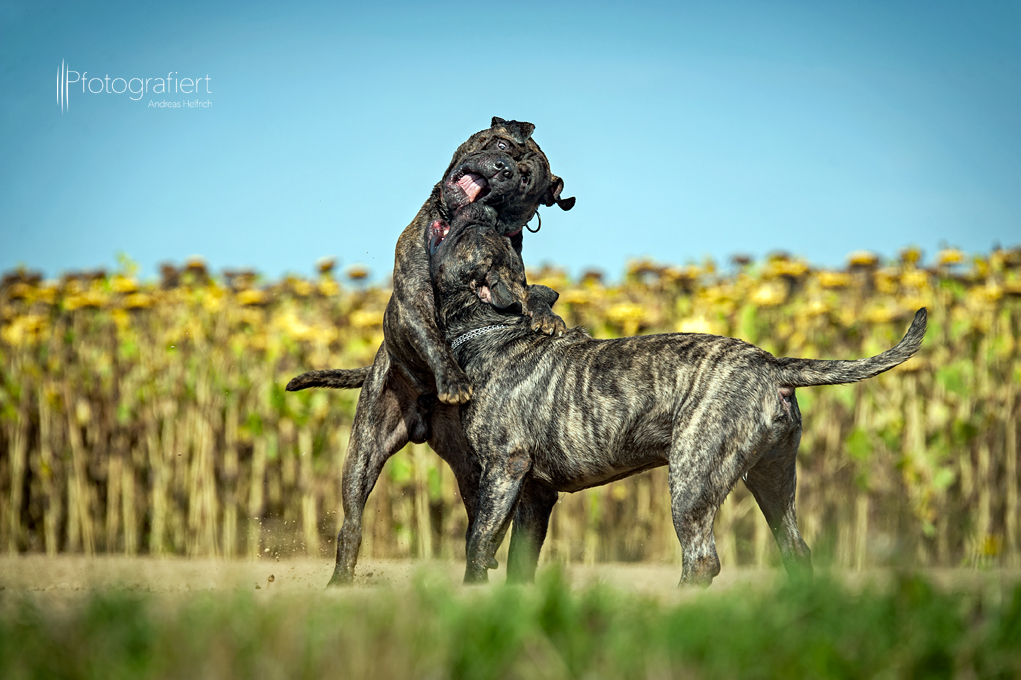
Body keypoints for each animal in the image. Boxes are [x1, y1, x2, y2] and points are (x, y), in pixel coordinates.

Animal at [287, 116, 575, 584]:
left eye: (526, 179)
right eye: (500, 145)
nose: (502, 169)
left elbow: (525, 292)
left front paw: (545, 315)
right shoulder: (412, 297)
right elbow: (432, 337)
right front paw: (454, 378)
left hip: (472, 466)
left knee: (480, 518)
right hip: (363, 453)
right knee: (352, 524)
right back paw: (340, 579)